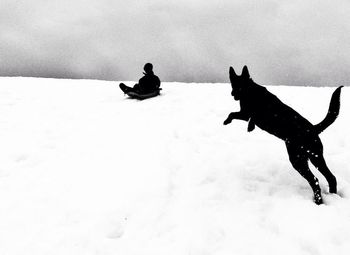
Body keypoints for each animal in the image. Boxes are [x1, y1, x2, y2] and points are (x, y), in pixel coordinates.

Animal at [224, 66, 342, 205]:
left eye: (241, 84)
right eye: (233, 83)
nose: (233, 94)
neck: (250, 91)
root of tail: (313, 128)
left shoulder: (247, 113)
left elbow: (237, 114)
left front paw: (232, 122)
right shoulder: (245, 114)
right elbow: (237, 115)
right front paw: (243, 125)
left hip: (298, 160)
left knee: (315, 180)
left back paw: (318, 201)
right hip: (316, 158)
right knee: (331, 177)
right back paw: (332, 195)